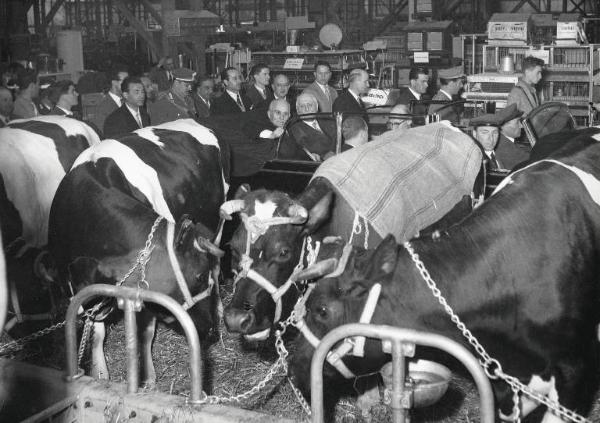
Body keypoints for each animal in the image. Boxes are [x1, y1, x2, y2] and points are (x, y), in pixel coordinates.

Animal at [47, 119, 227, 384]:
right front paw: (100, 374)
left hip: (219, 221)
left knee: (217, 263)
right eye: (197, 276)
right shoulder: (77, 286)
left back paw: (220, 309)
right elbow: (97, 332)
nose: (209, 330)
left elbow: (145, 333)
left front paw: (148, 378)